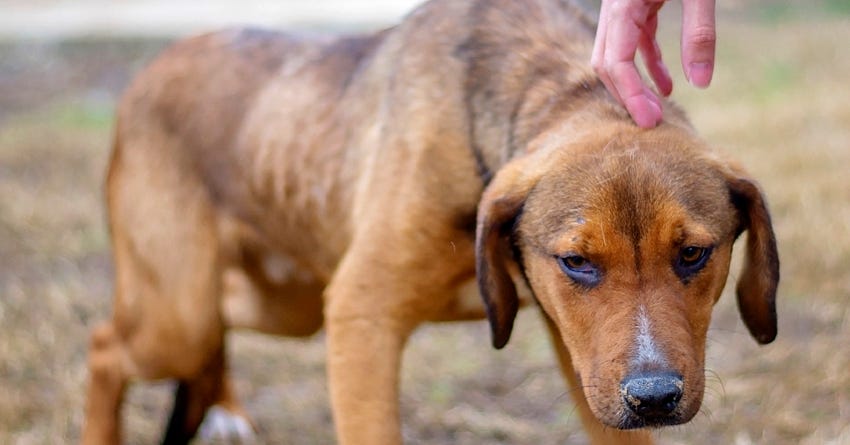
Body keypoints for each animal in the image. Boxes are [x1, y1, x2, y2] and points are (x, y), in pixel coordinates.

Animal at [83, 0, 780, 442]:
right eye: (577, 262)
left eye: (692, 254)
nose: (654, 397)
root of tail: (150, 69)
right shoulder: (361, 316)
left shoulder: (589, 369)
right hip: (181, 315)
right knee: (106, 348)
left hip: (279, 304)